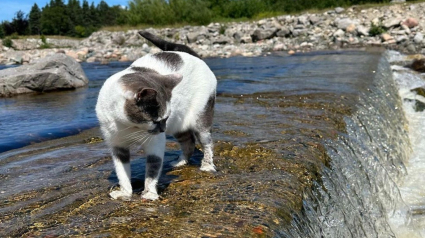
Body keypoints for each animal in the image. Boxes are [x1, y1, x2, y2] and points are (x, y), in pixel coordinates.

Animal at [95, 31, 215, 201]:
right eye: (155, 121)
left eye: (164, 118)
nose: (163, 129)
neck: (129, 126)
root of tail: (194, 56)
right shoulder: (117, 144)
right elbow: (122, 172)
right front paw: (125, 192)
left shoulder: (155, 143)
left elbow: (153, 168)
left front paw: (150, 193)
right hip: (178, 125)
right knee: (189, 141)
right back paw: (181, 162)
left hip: (201, 117)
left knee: (207, 142)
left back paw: (207, 166)